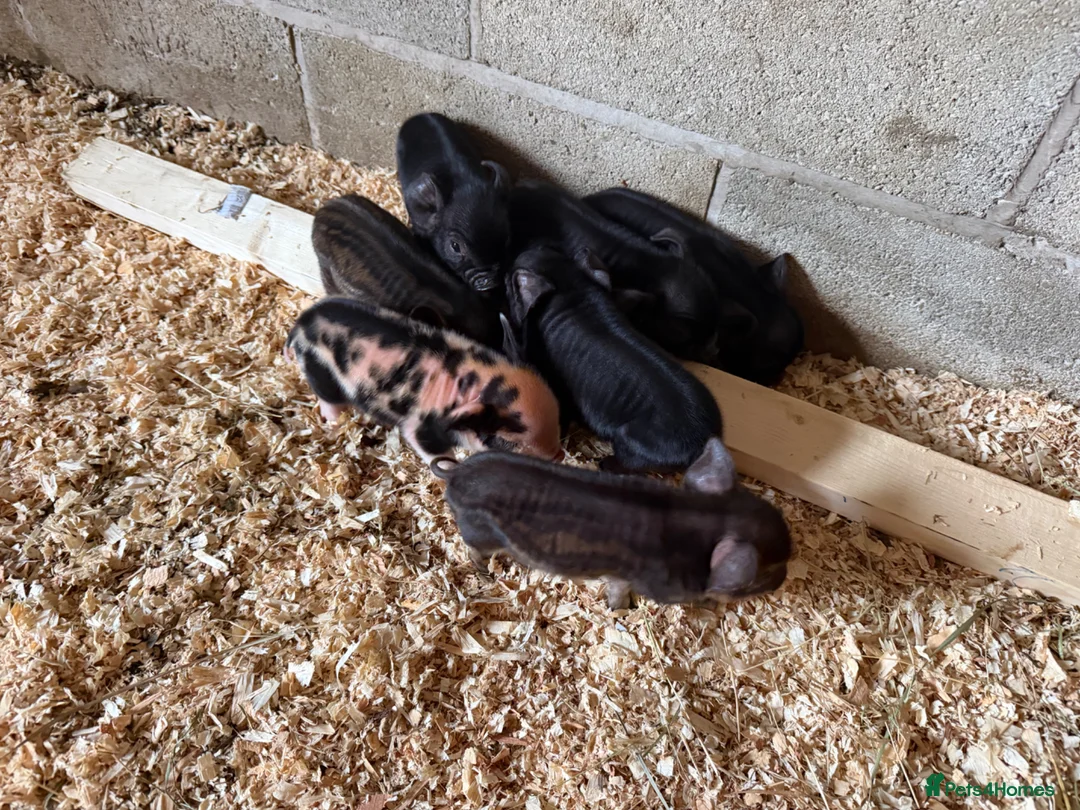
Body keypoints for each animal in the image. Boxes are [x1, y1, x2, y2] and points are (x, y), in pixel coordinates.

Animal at [284, 297, 562, 464]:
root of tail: (301, 323)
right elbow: (433, 453)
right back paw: (337, 423)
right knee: (328, 401)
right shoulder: (419, 427)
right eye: (512, 442)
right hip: (319, 370)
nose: (558, 456)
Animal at [429, 437, 792, 609]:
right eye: (768, 570)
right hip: (480, 535)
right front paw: (623, 611)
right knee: (473, 552)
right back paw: (486, 575)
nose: (784, 579)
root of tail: (454, 475)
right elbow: (619, 595)